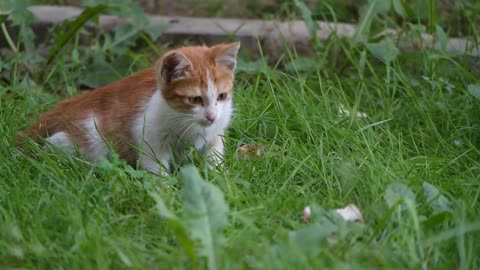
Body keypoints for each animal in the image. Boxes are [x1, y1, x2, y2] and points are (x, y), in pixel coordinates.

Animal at [19, 41, 240, 174]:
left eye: (221, 96)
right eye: (194, 99)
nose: (211, 116)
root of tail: (62, 107)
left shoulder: (216, 133)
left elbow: (214, 156)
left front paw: (220, 179)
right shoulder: (148, 134)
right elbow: (156, 166)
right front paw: (164, 192)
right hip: (84, 139)